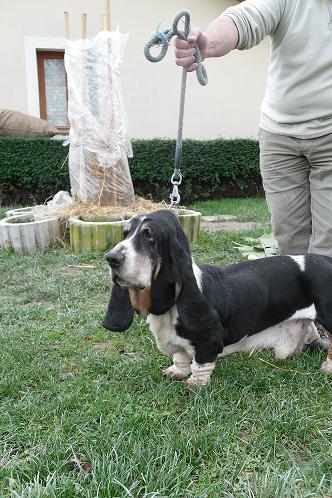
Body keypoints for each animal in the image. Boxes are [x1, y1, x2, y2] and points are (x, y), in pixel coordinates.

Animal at [103, 208, 332, 388]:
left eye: (149, 236)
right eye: (125, 233)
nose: (111, 258)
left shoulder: (208, 342)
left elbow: (200, 365)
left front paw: (194, 385)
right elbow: (180, 357)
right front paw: (177, 371)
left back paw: (327, 368)